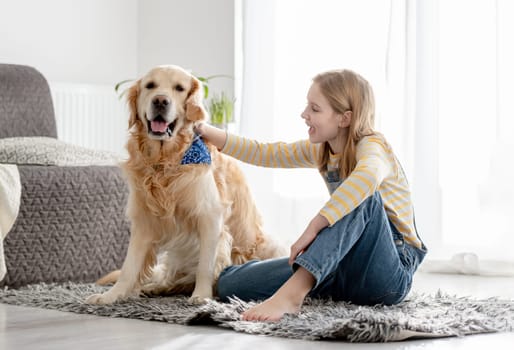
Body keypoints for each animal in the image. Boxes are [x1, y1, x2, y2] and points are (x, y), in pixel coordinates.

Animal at [84, 65, 284, 304]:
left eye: (179, 88)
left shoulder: (210, 216)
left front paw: (201, 297)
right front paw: (111, 296)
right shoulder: (144, 219)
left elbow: (205, 265)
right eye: (150, 85)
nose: (160, 101)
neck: (164, 163)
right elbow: (129, 266)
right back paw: (156, 287)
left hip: (271, 245)